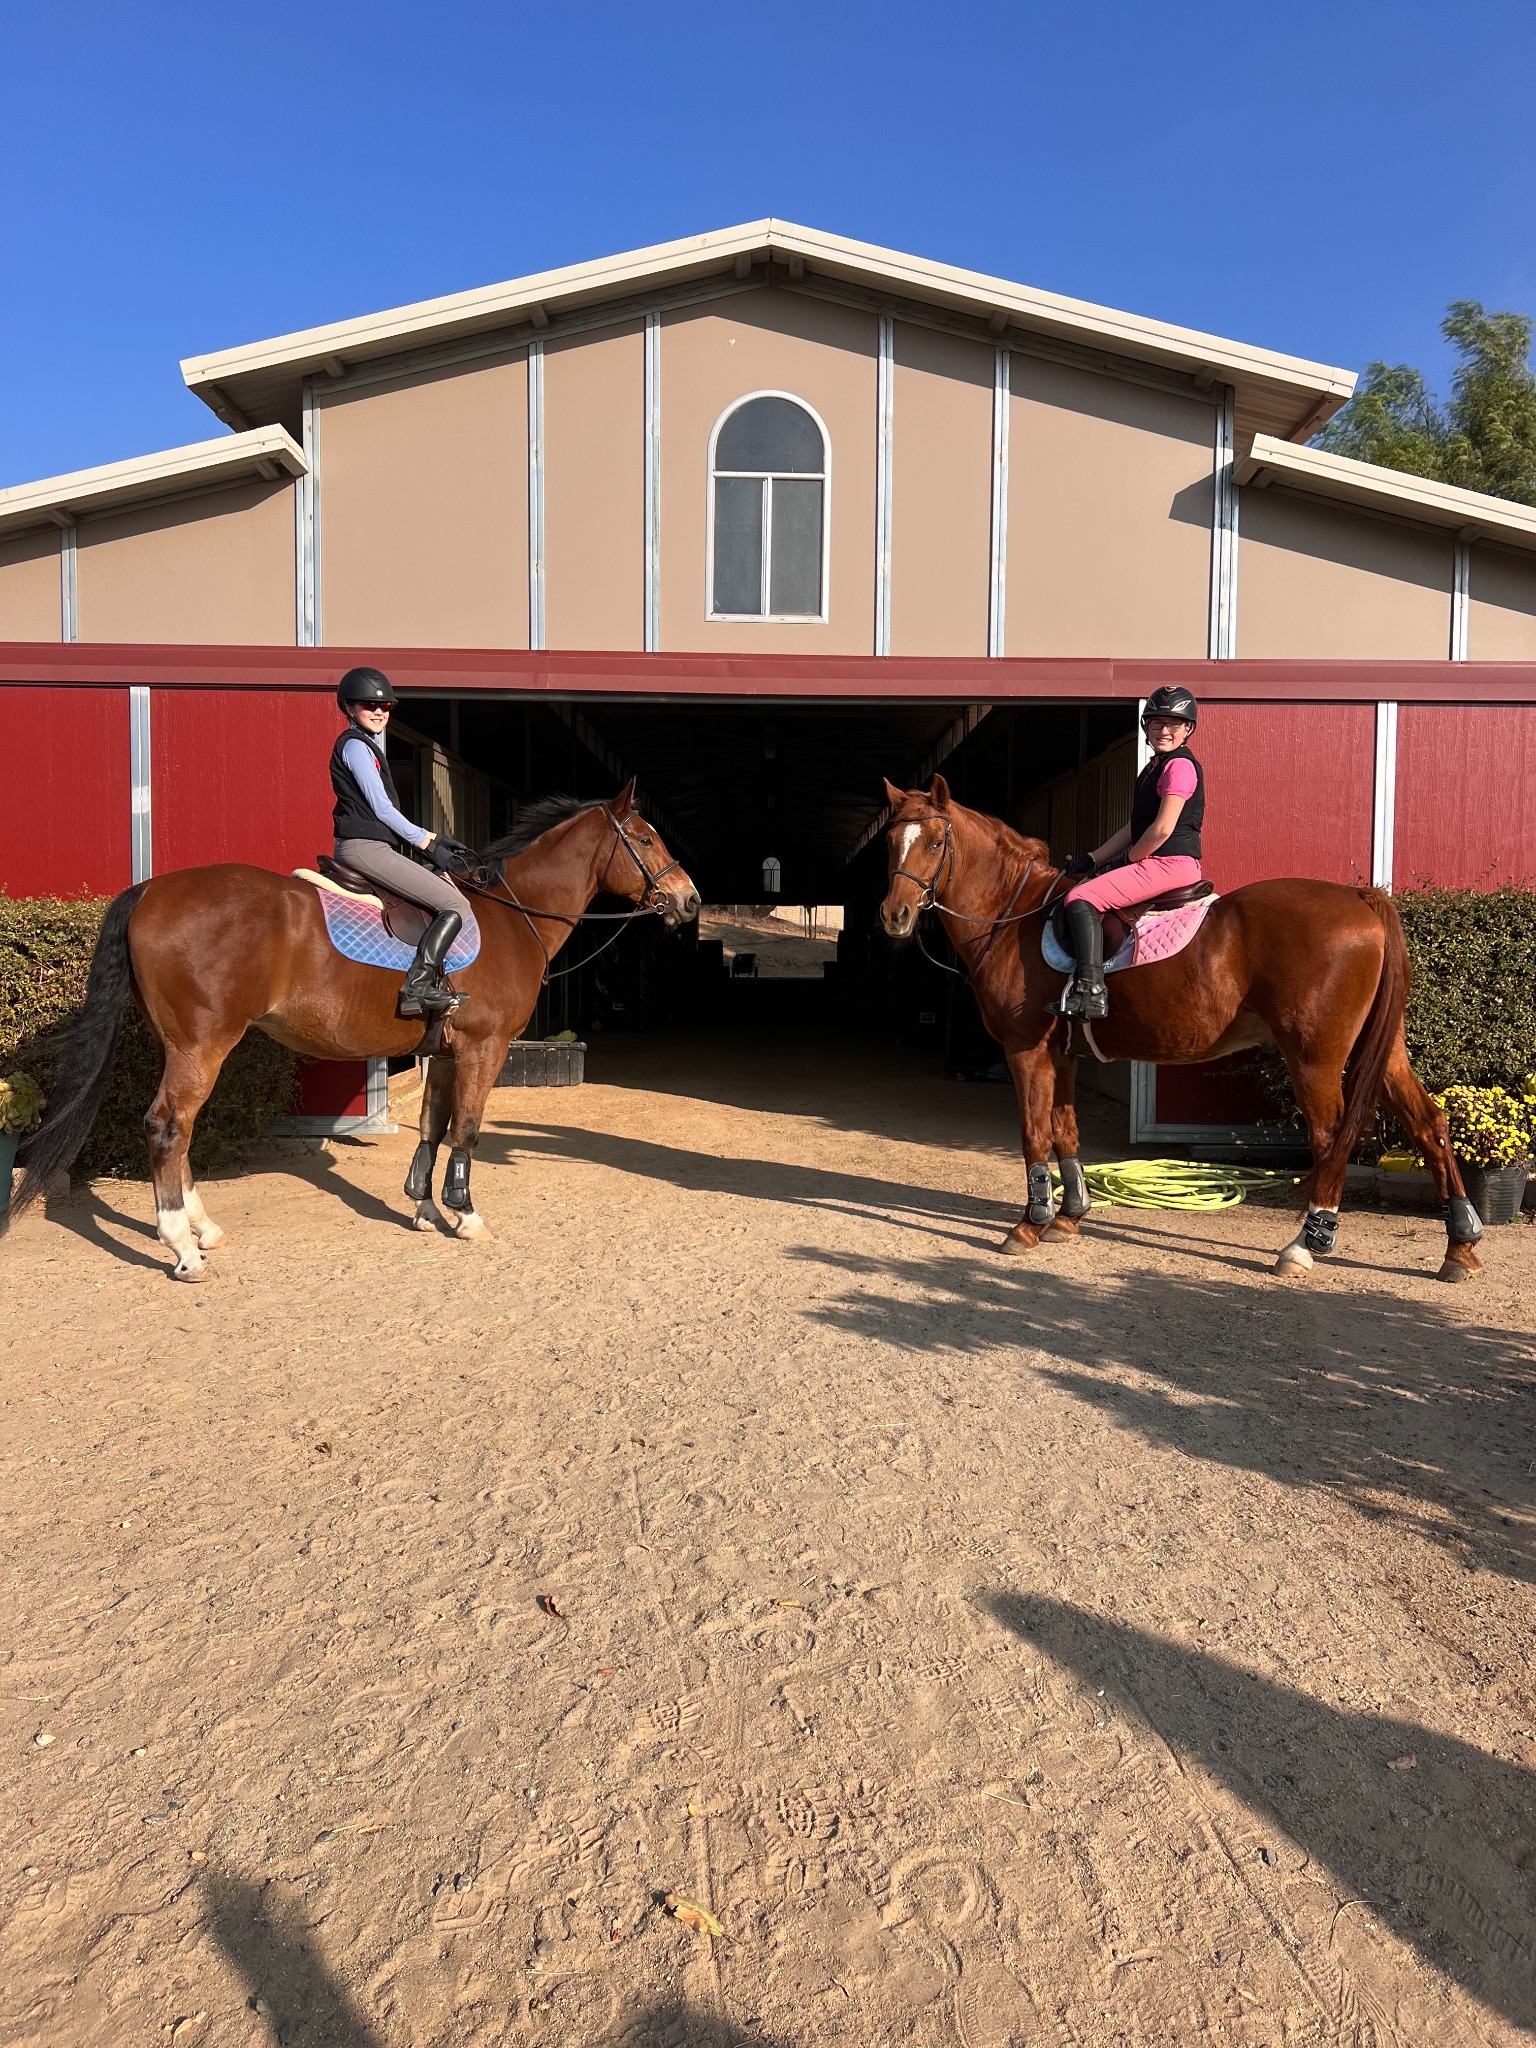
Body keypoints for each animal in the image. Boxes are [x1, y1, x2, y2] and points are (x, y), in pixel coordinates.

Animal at [6, 785, 700, 1280]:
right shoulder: (485, 1047)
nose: (690, 901)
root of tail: (151, 889)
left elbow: (433, 1124)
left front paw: (424, 1207)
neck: (510, 918)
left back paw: (202, 1230)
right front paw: (465, 1214)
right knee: (166, 1127)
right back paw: (183, 1248)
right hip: (202, 1046)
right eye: (645, 837)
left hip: (174, 1043)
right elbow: (469, 1129)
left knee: (181, 1131)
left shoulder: (444, 1052)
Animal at [877, 775, 1484, 1283]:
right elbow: (1065, 1131)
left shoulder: (1026, 1051)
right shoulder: (1062, 1054)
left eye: (936, 842)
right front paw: (1070, 1217)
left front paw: (1029, 1225)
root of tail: (1361, 896)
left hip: (1315, 1057)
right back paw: (1460, 1244)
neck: (1016, 916)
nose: (894, 916)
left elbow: (1033, 1134)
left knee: (1332, 1137)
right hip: (1380, 1052)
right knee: (1429, 1123)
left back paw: (1305, 1245)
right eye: (891, 842)